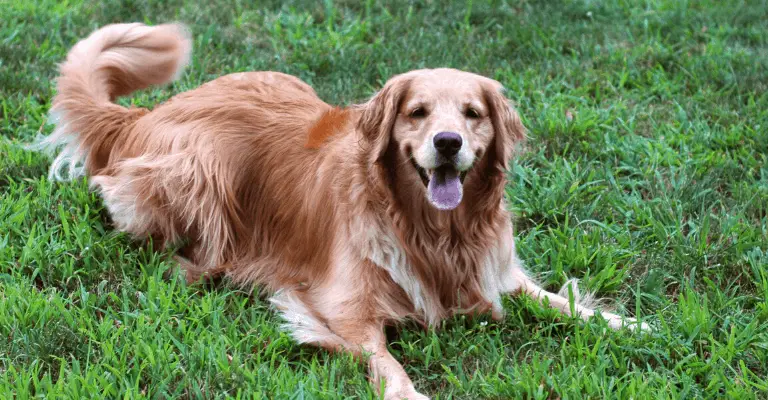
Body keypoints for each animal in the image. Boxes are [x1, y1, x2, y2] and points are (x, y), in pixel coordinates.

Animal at [37, 23, 648, 398]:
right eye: (417, 112)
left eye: (473, 114)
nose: (448, 141)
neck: (433, 231)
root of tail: (145, 113)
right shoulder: (344, 309)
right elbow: (388, 363)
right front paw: (410, 391)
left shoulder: (491, 271)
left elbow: (558, 299)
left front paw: (627, 323)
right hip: (200, 168)